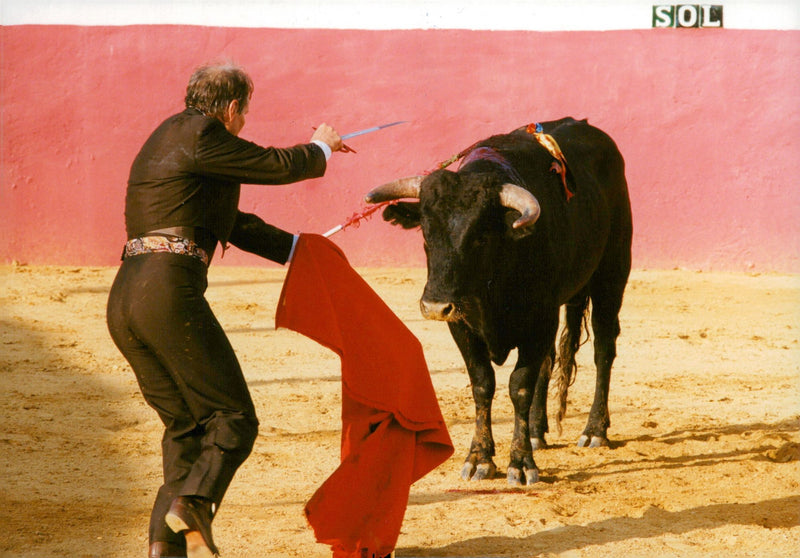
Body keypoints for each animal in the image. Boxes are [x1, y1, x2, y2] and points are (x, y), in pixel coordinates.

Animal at [366, 119, 636, 490]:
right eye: (425, 234)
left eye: (480, 236)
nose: (435, 306)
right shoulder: (462, 324)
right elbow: (483, 384)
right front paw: (480, 457)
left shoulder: (539, 320)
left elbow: (519, 385)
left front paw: (520, 463)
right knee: (550, 360)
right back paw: (537, 431)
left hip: (612, 275)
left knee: (603, 349)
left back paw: (594, 430)